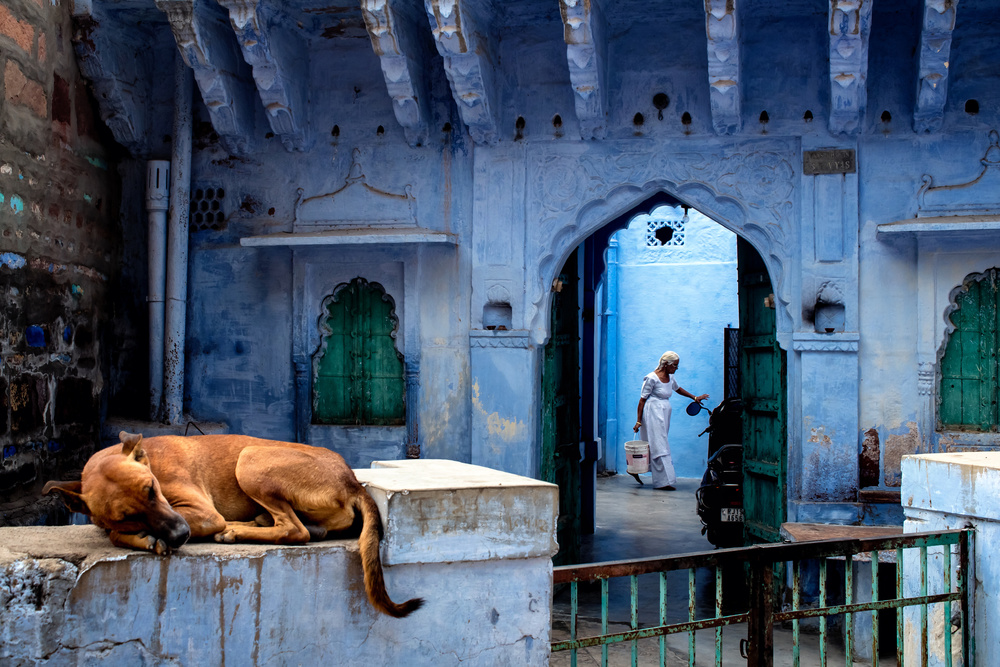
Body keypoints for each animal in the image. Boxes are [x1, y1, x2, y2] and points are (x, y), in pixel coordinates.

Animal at [44, 430, 422, 620]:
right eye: (127, 514)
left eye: (151, 489)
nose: (180, 535)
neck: (151, 462)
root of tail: (352, 481)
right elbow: (112, 531)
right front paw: (145, 537)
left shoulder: (200, 512)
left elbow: (112, 535)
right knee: (300, 528)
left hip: (250, 459)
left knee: (294, 530)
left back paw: (234, 530)